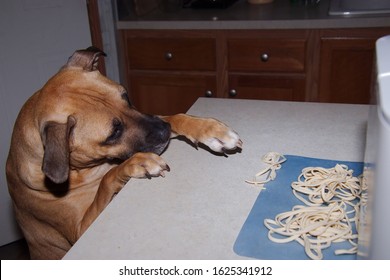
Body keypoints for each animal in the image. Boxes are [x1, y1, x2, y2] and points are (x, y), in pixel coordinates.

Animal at [6, 47, 242, 260]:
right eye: (113, 133)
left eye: (126, 96)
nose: (164, 131)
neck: (83, 169)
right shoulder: (81, 227)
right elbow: (107, 180)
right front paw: (136, 163)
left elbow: (177, 116)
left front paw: (210, 129)